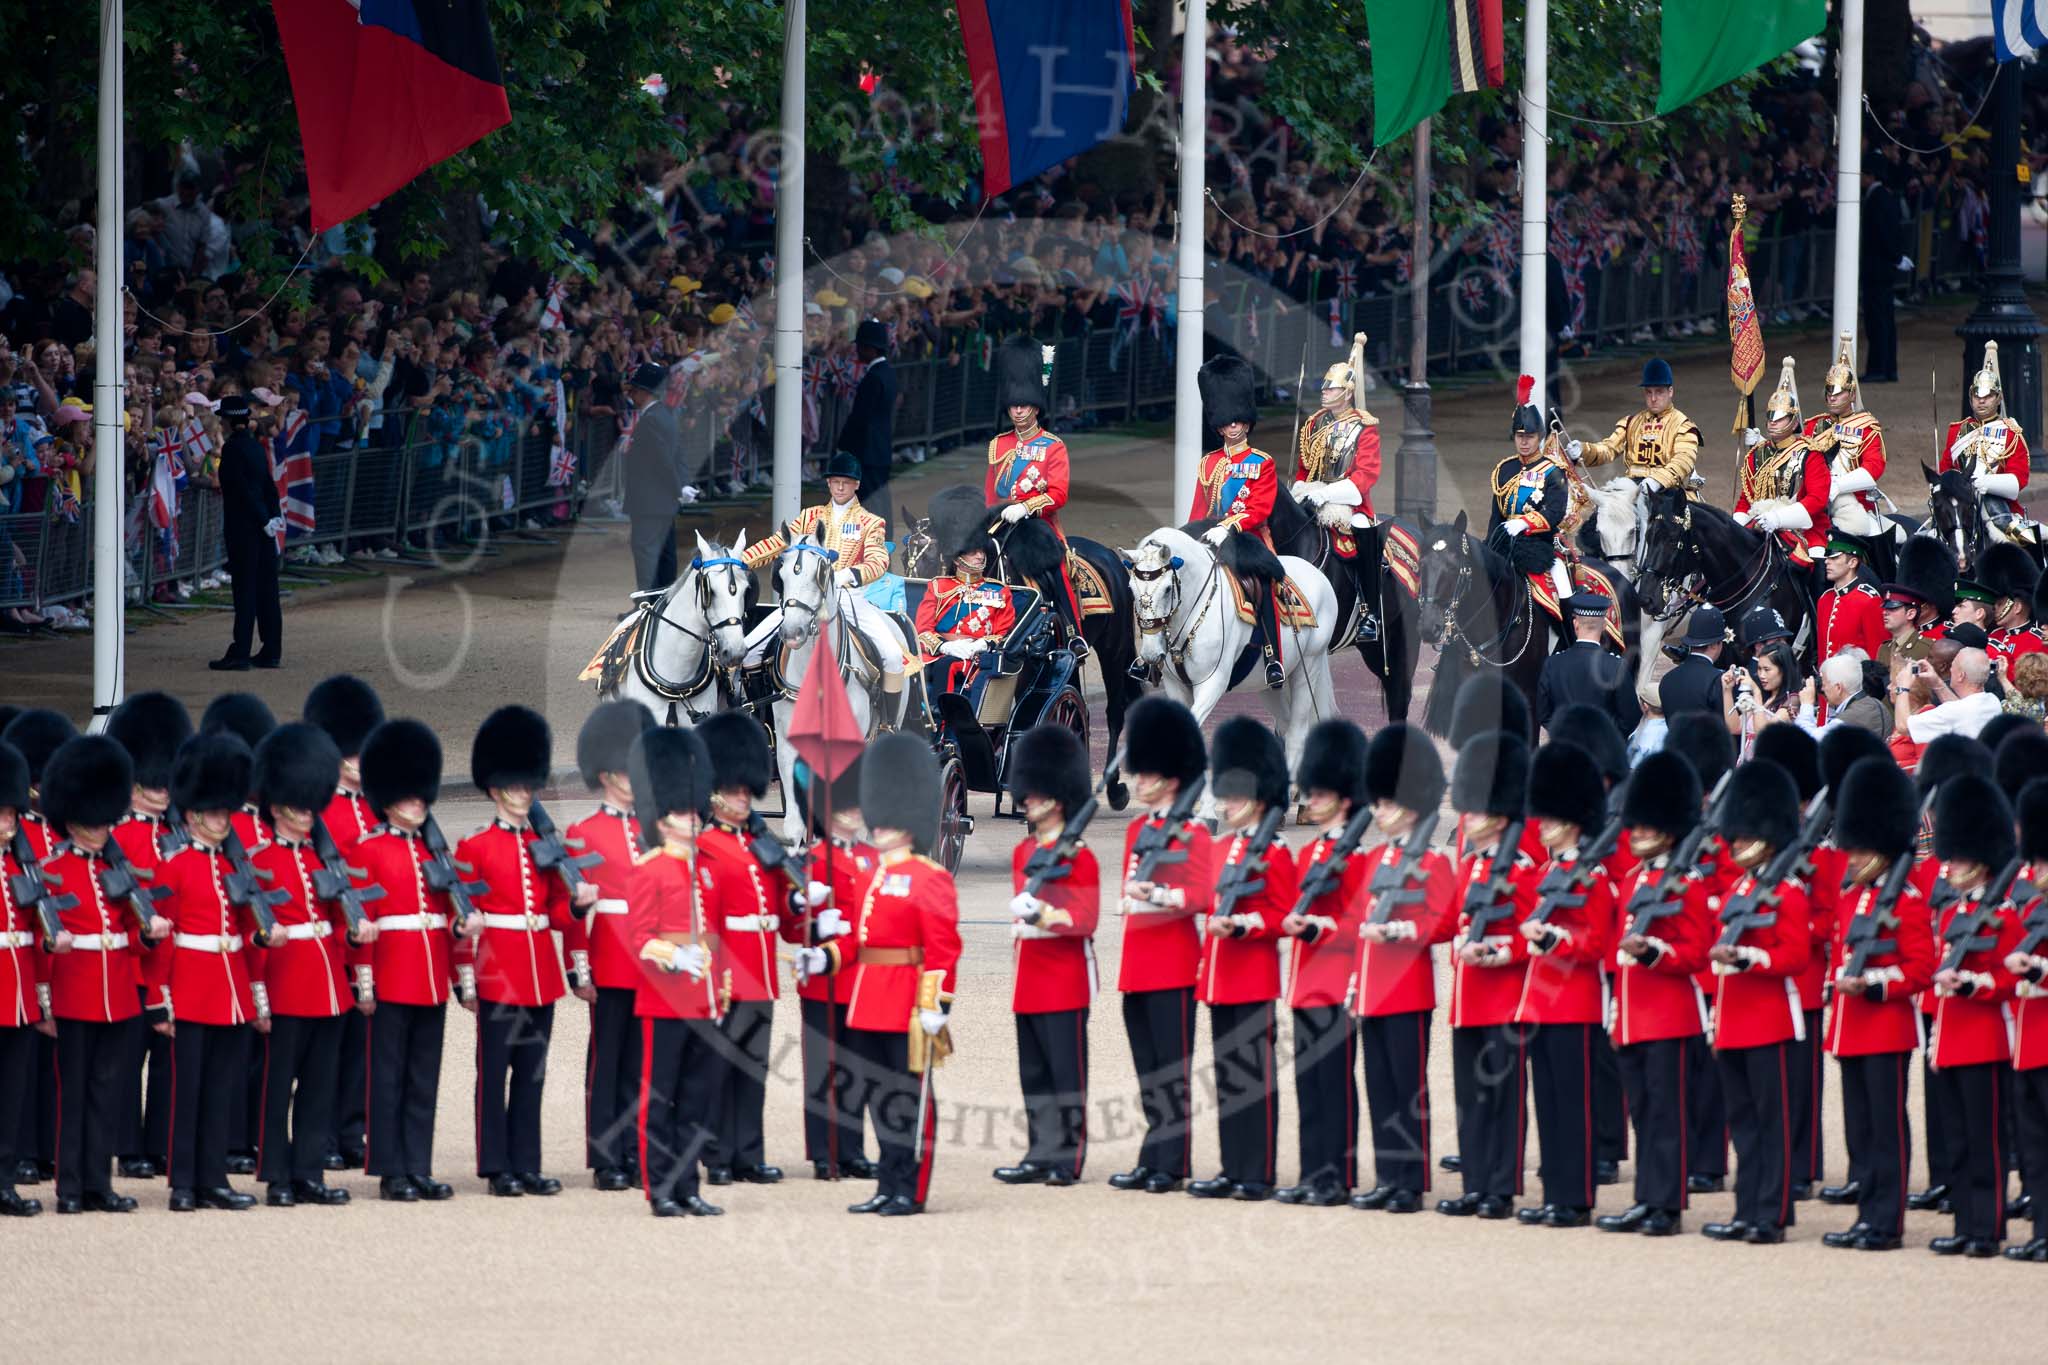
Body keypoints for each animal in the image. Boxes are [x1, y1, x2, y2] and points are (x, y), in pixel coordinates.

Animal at [1122, 523, 1343, 777]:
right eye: (1131, 589)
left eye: (1168, 589)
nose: (1150, 654)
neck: (1194, 610)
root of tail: (1318, 575)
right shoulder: (1175, 686)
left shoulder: (1212, 683)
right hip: (1269, 684)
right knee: (1286, 726)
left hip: (1308, 666)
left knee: (1297, 733)